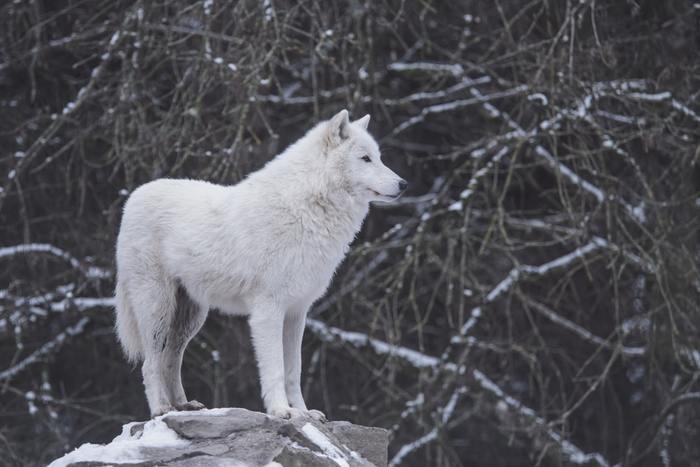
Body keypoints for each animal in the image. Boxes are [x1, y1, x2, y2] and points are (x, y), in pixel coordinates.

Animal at [113, 109, 404, 420]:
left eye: (379, 157)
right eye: (365, 158)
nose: (404, 184)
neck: (307, 208)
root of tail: (134, 196)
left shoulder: (297, 312)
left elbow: (294, 370)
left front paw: (305, 413)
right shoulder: (268, 310)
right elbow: (275, 369)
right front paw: (281, 411)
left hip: (191, 317)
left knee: (171, 360)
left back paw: (184, 406)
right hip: (157, 309)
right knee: (150, 363)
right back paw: (161, 409)